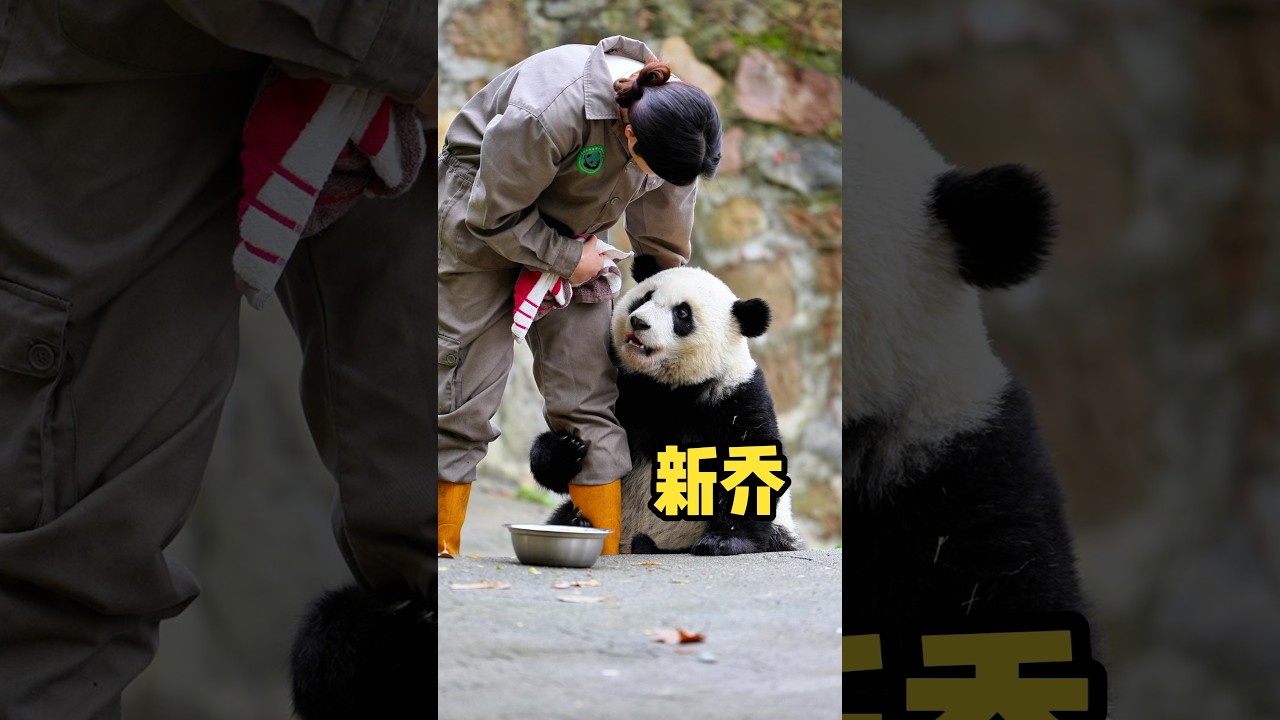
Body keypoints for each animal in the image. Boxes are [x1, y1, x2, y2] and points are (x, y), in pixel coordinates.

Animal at [530, 261, 803, 555]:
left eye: (682, 313)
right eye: (645, 297)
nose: (639, 322)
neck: (670, 386)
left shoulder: (735, 398)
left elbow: (751, 465)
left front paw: (722, 540)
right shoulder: (628, 392)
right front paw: (565, 450)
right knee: (563, 514)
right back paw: (579, 522)